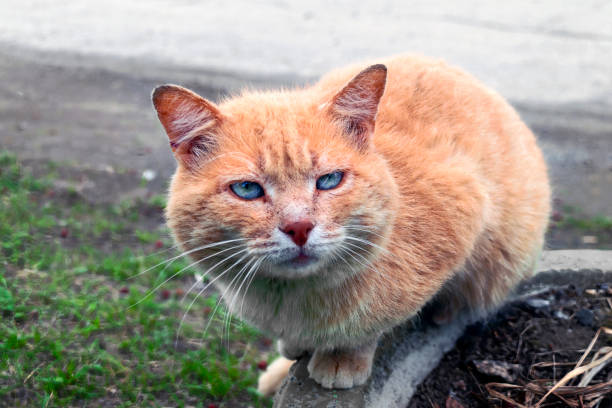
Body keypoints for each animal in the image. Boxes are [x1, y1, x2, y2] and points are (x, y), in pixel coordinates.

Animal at [152, 55, 548, 396]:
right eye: (247, 189)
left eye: (329, 181)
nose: (299, 227)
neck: (292, 297)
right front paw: (295, 346)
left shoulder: (466, 209)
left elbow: (366, 328)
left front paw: (340, 359)